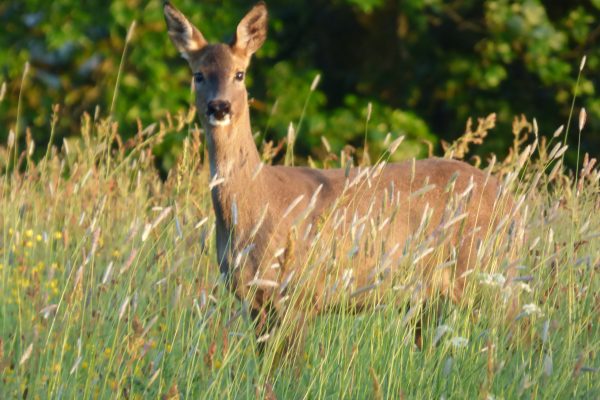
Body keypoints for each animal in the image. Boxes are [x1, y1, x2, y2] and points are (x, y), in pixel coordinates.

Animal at [163, 1, 520, 355]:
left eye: (240, 73)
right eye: (198, 74)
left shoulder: (298, 294)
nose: (219, 106)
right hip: (430, 299)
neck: (256, 204)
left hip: (486, 275)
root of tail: (509, 196)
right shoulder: (255, 302)